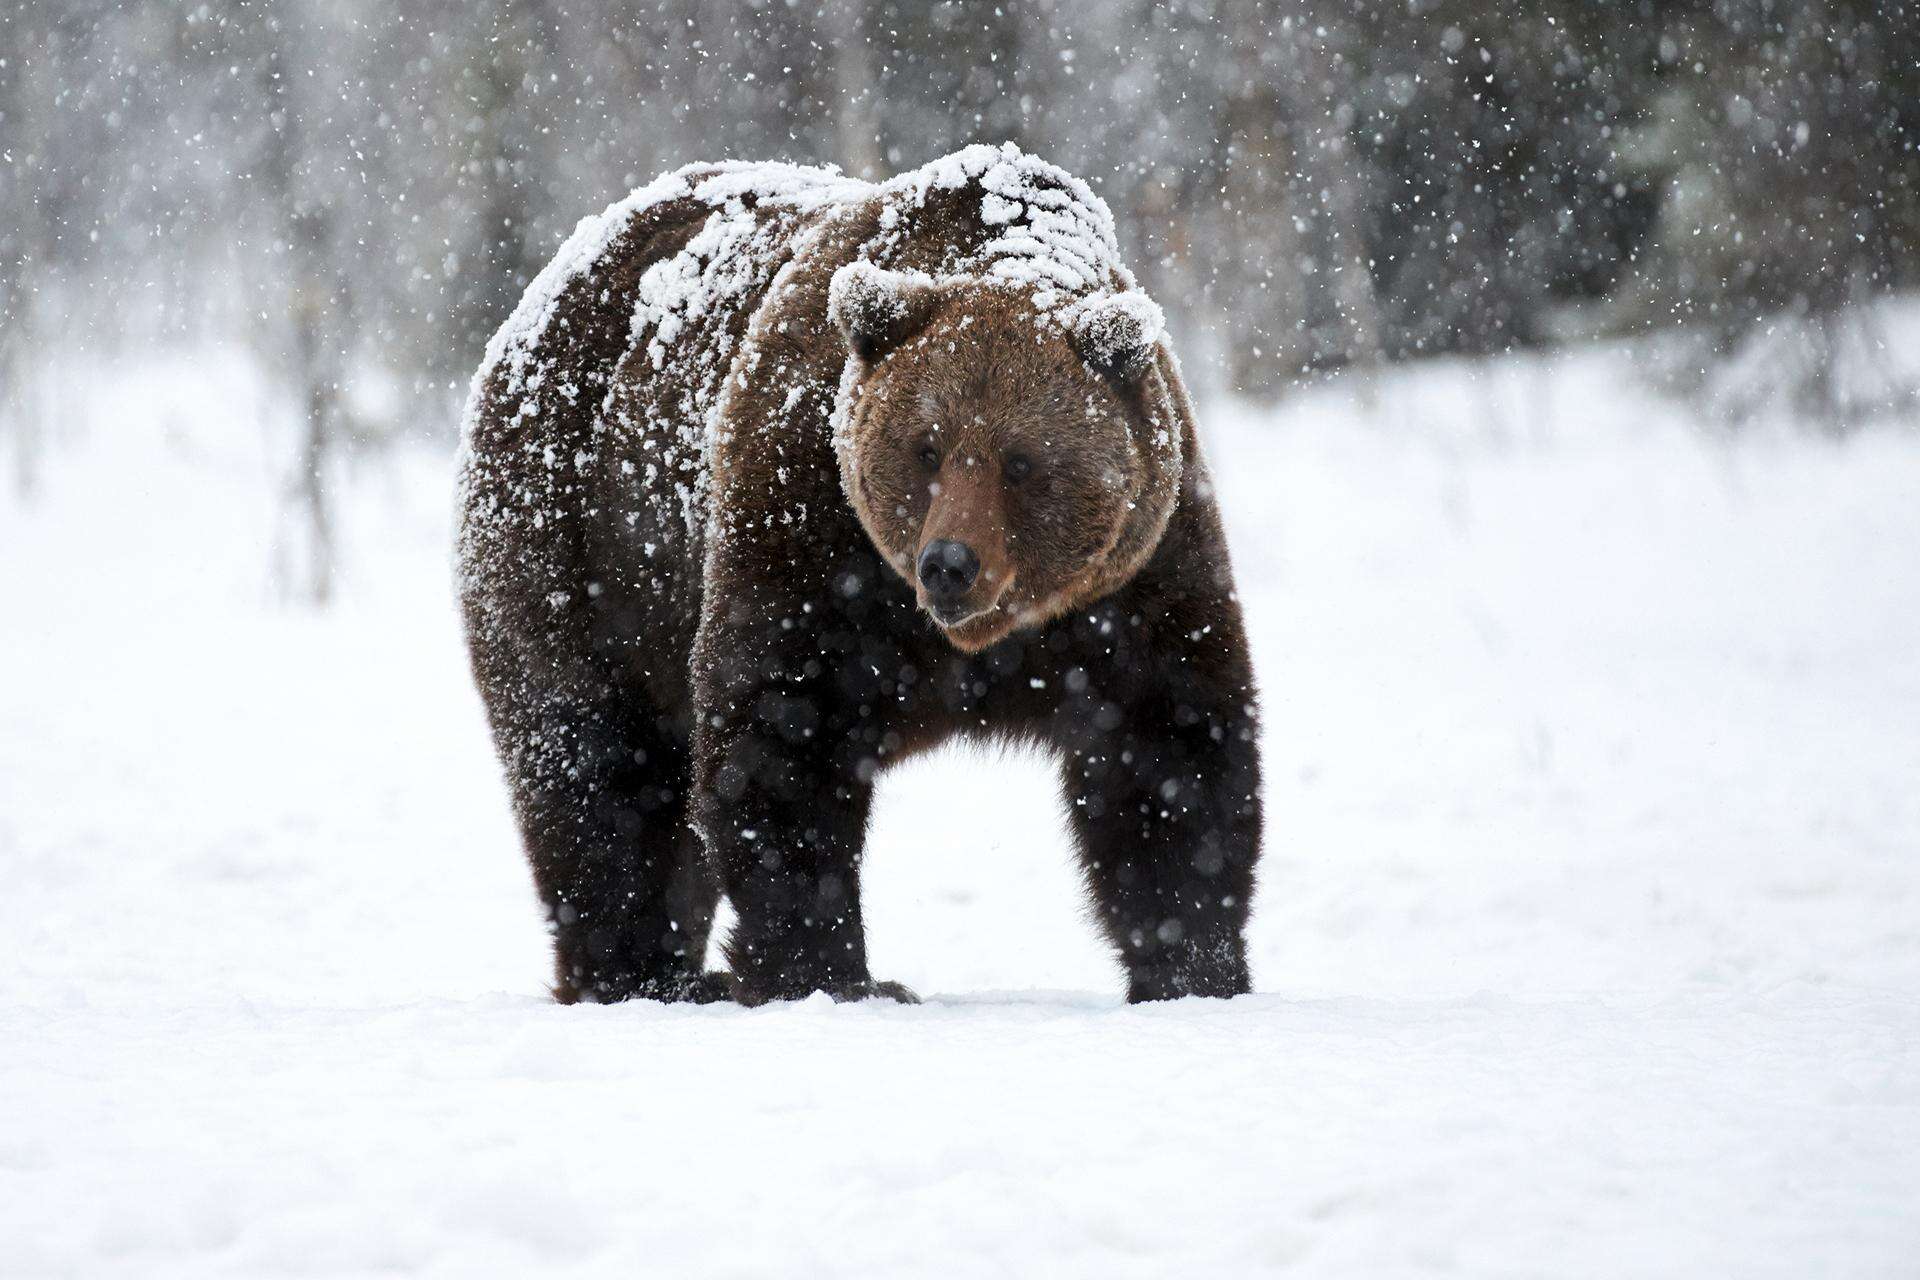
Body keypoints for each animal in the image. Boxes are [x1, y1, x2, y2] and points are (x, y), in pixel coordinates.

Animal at [458, 144, 1267, 1005]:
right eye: (928, 447)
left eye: (1020, 461)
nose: (950, 565)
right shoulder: (806, 530)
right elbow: (779, 739)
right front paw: (832, 974)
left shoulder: (1133, 580)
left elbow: (1172, 751)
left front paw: (1195, 968)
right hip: (582, 545)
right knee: (597, 769)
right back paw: (640, 974)